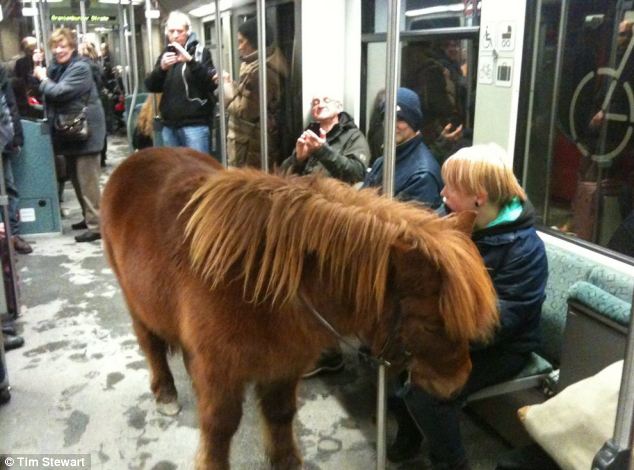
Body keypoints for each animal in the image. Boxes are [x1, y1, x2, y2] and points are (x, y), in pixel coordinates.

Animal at [101, 148, 498, 470]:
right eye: (430, 323)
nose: (457, 381)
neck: (258, 284)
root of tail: (138, 158)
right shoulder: (220, 372)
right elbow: (219, 426)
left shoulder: (284, 364)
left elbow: (280, 415)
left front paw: (286, 460)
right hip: (136, 304)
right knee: (152, 346)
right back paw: (165, 392)